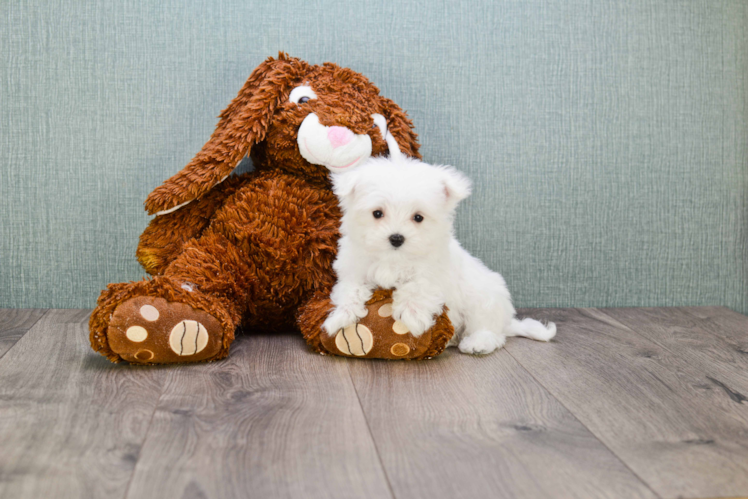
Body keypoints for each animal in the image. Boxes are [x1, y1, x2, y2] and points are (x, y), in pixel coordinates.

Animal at [322, 154, 556, 354]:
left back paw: (477, 342)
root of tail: (507, 321)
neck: (394, 258)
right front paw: (340, 316)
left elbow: (417, 286)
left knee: (489, 329)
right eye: (377, 213)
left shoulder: (434, 273)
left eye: (418, 217)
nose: (396, 238)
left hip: (483, 299)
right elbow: (350, 290)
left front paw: (412, 316)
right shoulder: (354, 270)